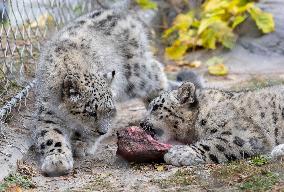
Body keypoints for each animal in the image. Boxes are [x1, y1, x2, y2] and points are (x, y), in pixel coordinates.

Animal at [34, 8, 171, 177]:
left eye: (110, 110)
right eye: (91, 112)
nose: (102, 131)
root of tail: (123, 14)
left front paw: (82, 144)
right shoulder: (49, 113)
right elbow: (51, 135)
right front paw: (57, 160)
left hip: (135, 77)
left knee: (156, 71)